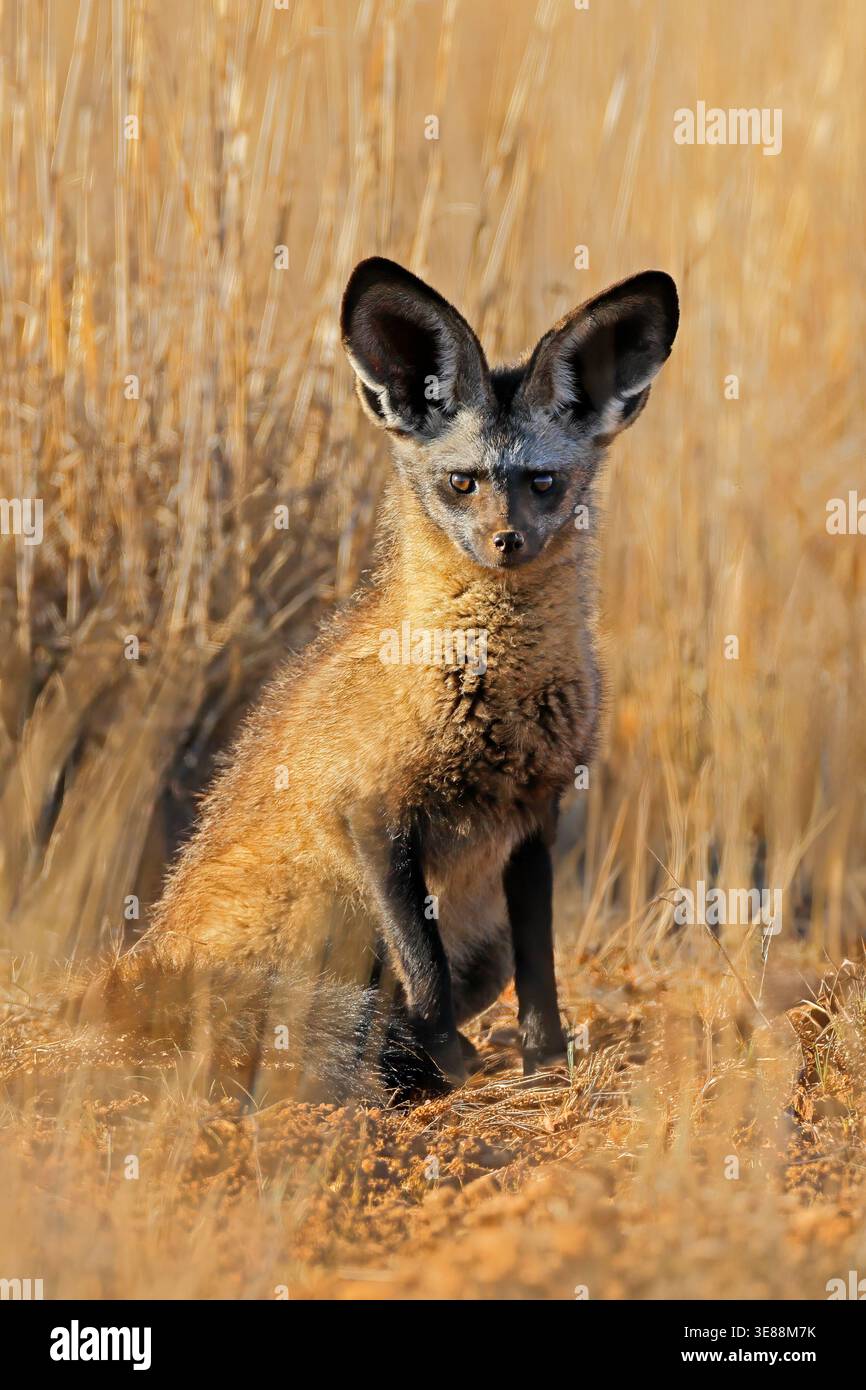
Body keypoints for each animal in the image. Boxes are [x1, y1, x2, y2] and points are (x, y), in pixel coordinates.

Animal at [83, 257, 678, 1096]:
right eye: (461, 483)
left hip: (477, 939)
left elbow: (542, 972)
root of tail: (132, 968)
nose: (507, 542)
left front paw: (544, 1065)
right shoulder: (372, 812)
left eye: (544, 483)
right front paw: (449, 1061)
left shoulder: (537, 814)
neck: (490, 692)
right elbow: (422, 967)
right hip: (333, 908)